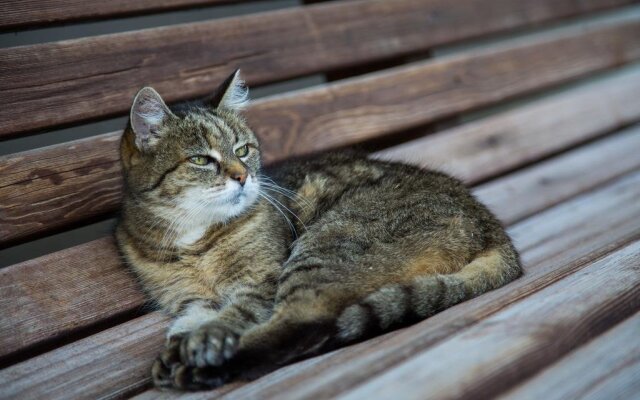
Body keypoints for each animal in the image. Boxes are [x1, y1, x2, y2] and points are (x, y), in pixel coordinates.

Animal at [117, 69, 524, 390]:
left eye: (243, 150)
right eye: (202, 160)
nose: (243, 176)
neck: (195, 239)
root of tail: (493, 228)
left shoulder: (261, 281)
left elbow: (233, 315)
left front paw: (206, 342)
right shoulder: (189, 301)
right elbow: (186, 322)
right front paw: (180, 345)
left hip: (325, 245)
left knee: (304, 322)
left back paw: (208, 368)